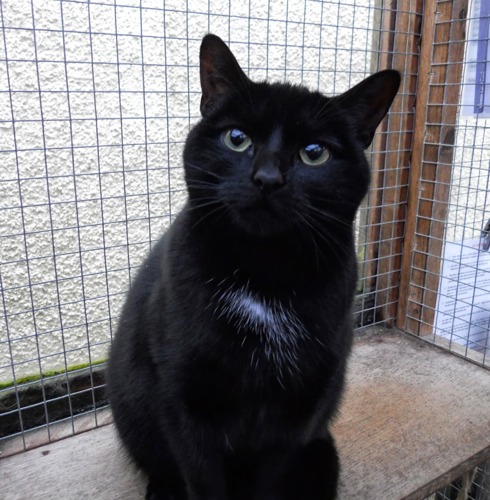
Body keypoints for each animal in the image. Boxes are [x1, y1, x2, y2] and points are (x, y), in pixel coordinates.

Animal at [106, 33, 398, 498]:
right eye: (237, 138)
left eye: (314, 153)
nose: (267, 179)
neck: (264, 273)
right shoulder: (186, 399)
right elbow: (203, 478)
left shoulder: (298, 409)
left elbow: (269, 479)